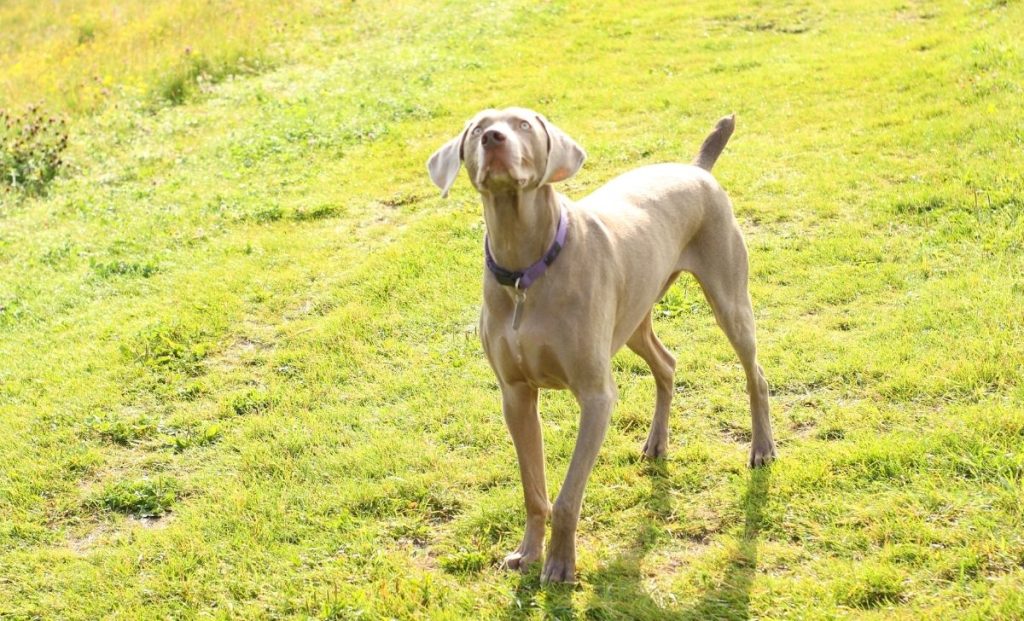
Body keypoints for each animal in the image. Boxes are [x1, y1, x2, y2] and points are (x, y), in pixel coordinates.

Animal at [425, 110, 774, 582]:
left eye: (523, 123)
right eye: (478, 128)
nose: (494, 139)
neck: (524, 271)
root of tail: (697, 169)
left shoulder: (595, 395)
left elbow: (568, 495)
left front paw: (559, 565)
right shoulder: (515, 396)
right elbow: (533, 489)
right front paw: (527, 553)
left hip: (728, 298)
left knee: (755, 373)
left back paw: (762, 448)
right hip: (634, 318)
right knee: (666, 362)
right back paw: (656, 443)